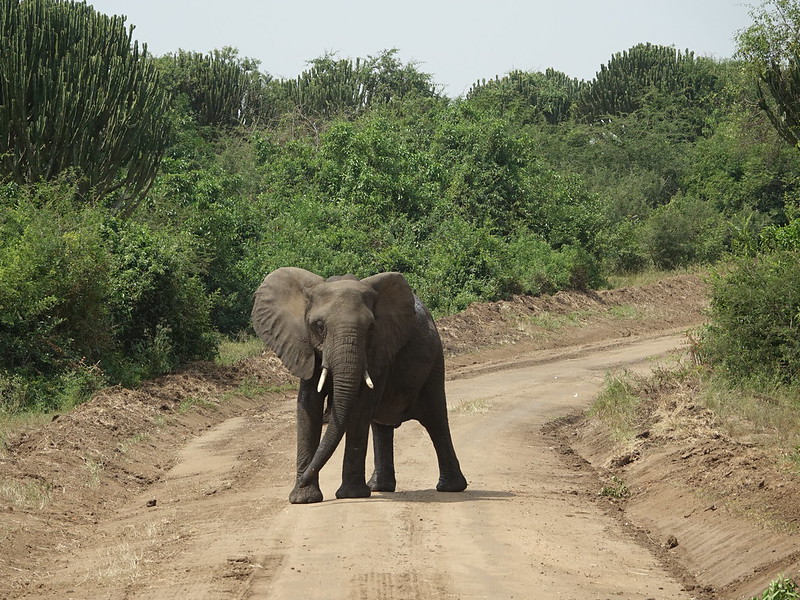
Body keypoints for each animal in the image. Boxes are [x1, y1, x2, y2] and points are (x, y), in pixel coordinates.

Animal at [252, 268, 468, 502]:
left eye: (371, 327)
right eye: (319, 326)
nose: (300, 481)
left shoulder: (379, 349)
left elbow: (361, 407)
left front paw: (349, 495)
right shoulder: (304, 348)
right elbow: (308, 406)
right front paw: (303, 499)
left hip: (434, 361)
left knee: (436, 420)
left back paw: (451, 488)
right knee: (381, 426)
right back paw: (379, 487)